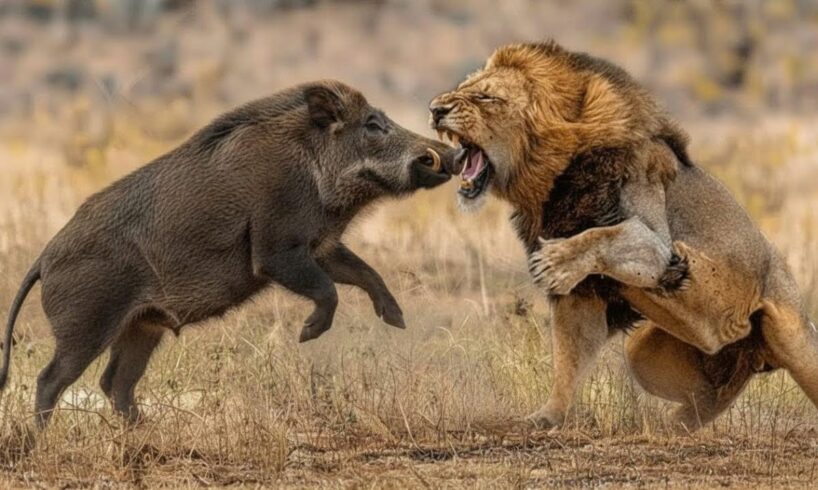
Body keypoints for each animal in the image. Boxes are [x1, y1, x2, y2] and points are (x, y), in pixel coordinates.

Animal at [429, 41, 818, 430]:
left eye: (485, 96)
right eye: (466, 88)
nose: (435, 109)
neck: (550, 182)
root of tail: (752, 352)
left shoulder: (660, 248)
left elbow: (605, 235)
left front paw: (554, 261)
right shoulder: (583, 296)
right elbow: (569, 360)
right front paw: (545, 418)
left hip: (794, 337)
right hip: (644, 355)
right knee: (713, 394)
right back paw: (674, 426)